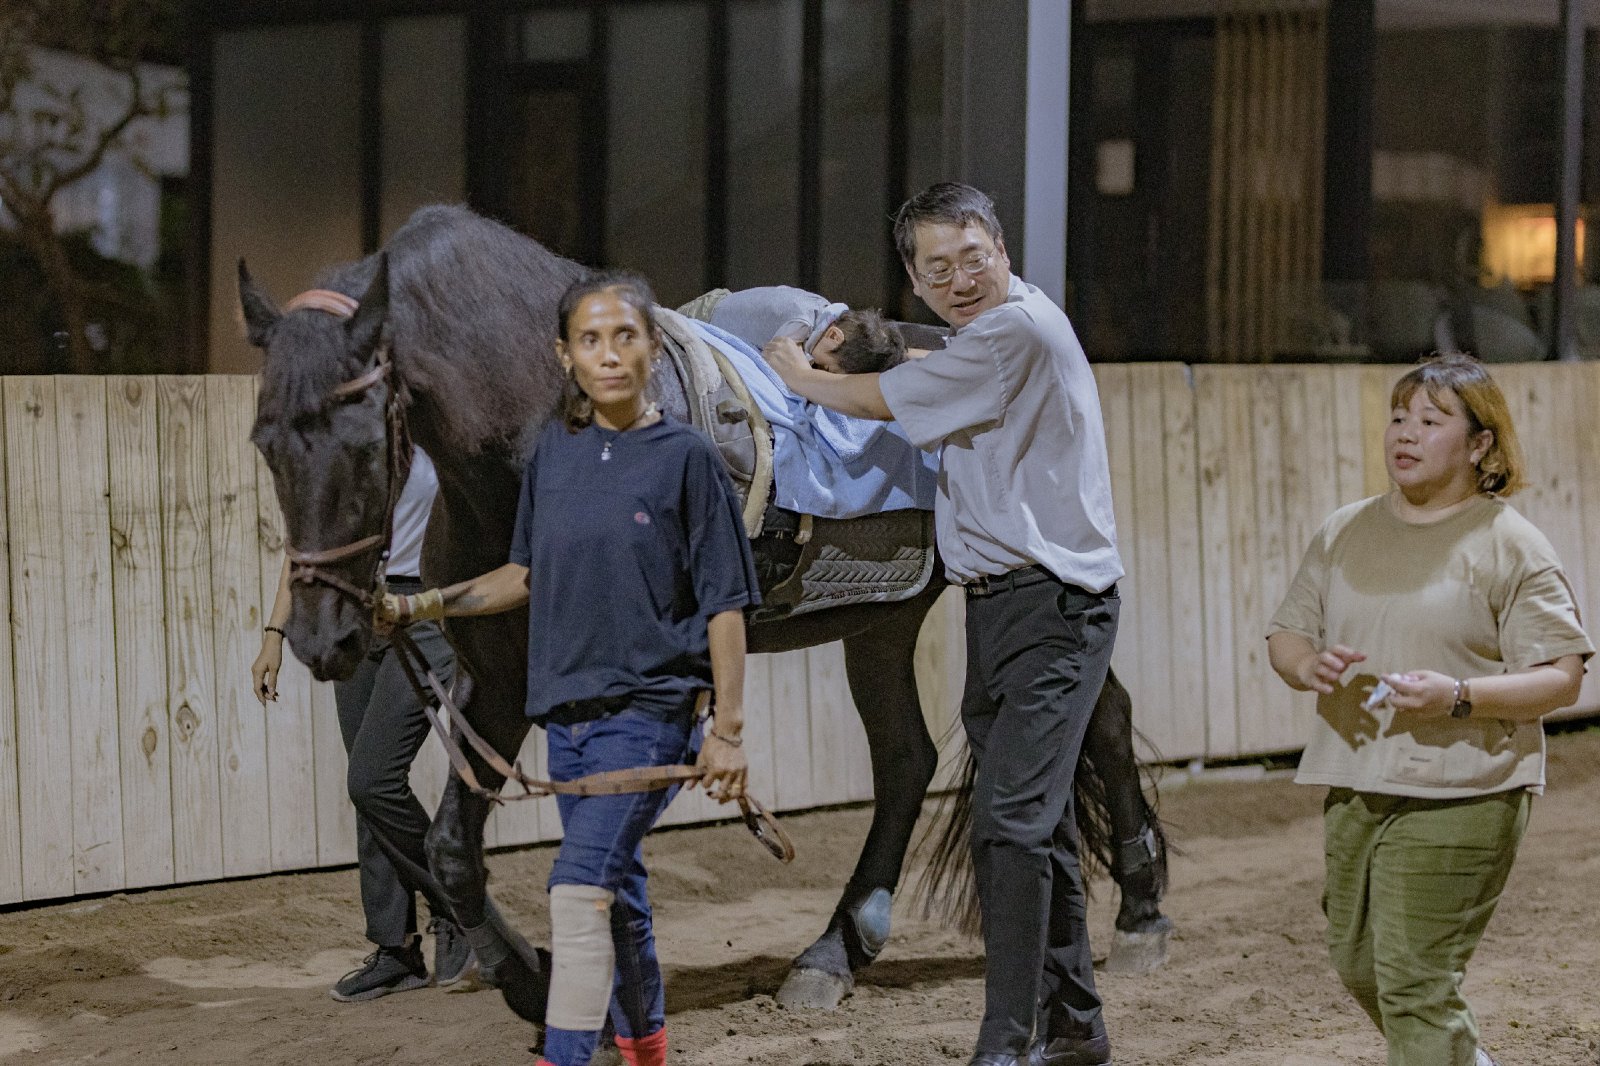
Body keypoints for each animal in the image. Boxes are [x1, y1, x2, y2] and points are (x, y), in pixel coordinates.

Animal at [240, 204, 1170, 1029]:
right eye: (265, 442)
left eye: (364, 441)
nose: (325, 636)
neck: (540, 438)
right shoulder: (496, 677)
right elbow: (452, 850)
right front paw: (533, 982)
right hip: (883, 622)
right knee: (912, 758)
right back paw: (837, 951)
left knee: (1097, 716)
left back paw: (1141, 915)